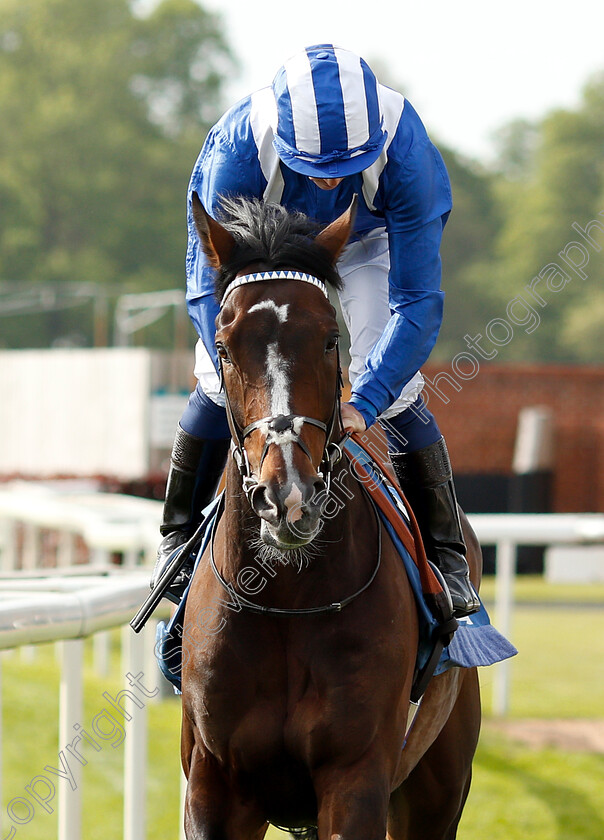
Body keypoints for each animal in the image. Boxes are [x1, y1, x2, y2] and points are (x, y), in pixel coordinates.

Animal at [179, 194, 482, 840]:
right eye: (225, 344)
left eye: (327, 339)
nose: (286, 494)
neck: (287, 600)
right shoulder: (214, 783)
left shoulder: (357, 775)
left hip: (438, 788)